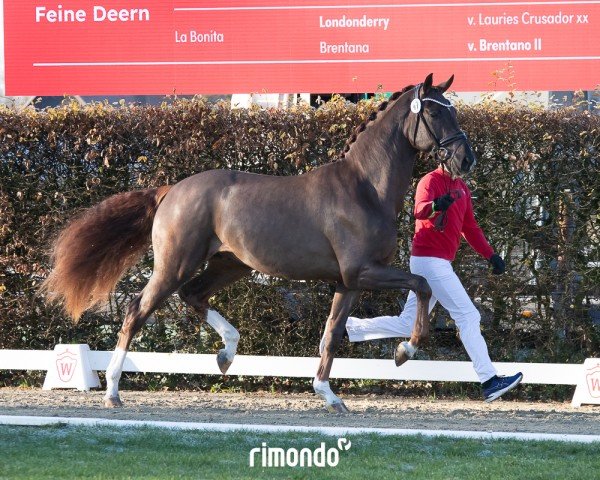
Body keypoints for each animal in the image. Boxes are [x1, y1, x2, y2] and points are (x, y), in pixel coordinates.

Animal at [41, 74, 478, 412]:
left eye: (452, 108)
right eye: (435, 112)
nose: (466, 160)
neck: (365, 188)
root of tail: (171, 190)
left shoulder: (347, 282)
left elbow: (333, 332)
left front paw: (328, 395)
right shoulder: (364, 272)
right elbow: (422, 285)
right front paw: (406, 352)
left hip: (229, 263)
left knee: (193, 295)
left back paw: (226, 352)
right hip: (175, 264)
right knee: (137, 311)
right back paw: (113, 391)